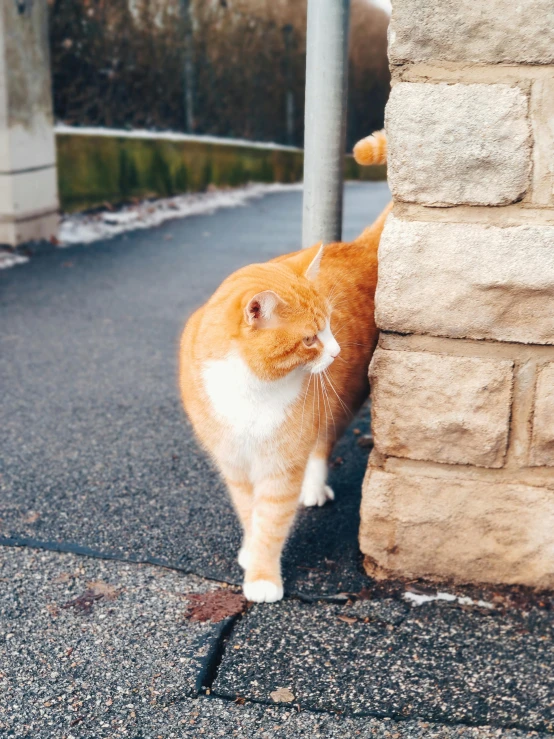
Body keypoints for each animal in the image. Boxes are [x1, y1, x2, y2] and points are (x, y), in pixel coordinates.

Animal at [179, 130, 390, 604]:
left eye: (330, 324)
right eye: (310, 338)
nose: (335, 352)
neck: (250, 388)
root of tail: (358, 247)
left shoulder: (279, 466)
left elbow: (273, 520)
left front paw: (261, 577)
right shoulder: (235, 463)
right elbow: (249, 512)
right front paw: (250, 551)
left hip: (339, 403)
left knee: (321, 446)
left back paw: (312, 488)